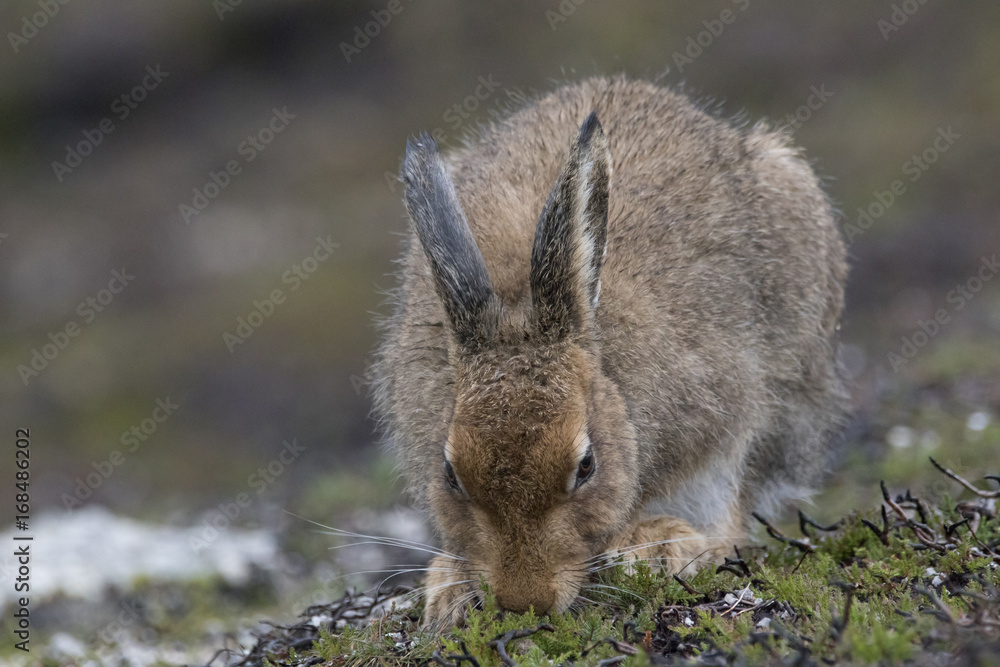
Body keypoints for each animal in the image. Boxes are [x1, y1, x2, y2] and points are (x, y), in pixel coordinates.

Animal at [370, 76, 848, 626]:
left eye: (586, 466)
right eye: (450, 473)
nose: (524, 602)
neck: (522, 306)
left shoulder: (724, 419)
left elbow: (729, 512)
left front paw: (660, 548)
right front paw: (447, 588)